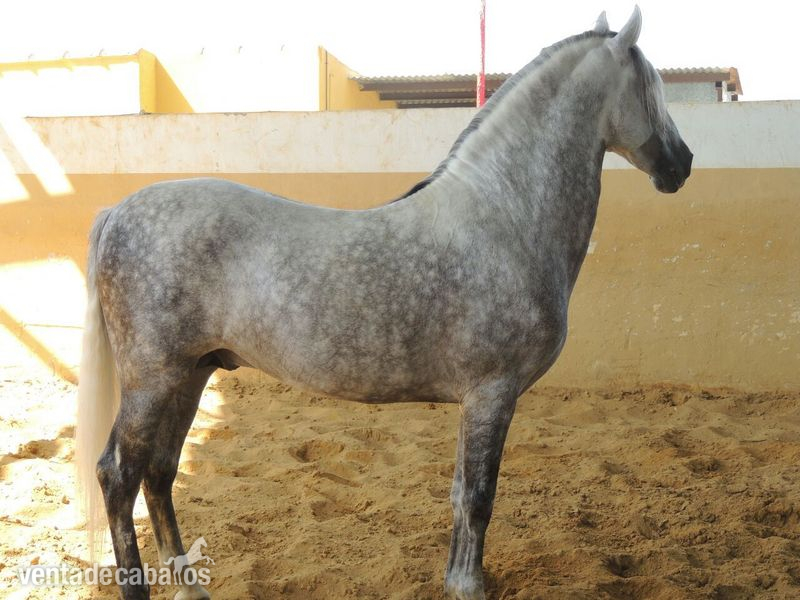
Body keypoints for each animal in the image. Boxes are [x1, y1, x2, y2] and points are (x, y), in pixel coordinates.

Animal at [75, 7, 692, 599]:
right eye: (653, 87)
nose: (682, 164)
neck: (504, 217)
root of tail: (118, 211)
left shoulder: (475, 400)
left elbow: (459, 494)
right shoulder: (492, 394)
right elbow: (480, 497)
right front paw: (468, 586)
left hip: (191, 373)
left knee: (159, 473)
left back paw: (190, 586)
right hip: (153, 378)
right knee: (119, 475)